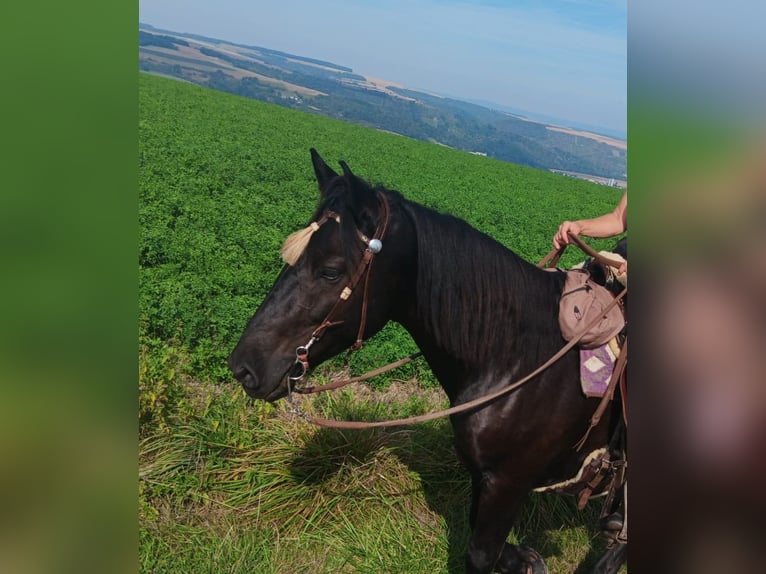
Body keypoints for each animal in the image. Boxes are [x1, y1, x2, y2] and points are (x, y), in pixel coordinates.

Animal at [230, 152, 632, 574]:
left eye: (331, 271)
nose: (244, 366)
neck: (516, 359)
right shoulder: (484, 478)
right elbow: (491, 543)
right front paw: (527, 559)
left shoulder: (507, 482)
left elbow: (479, 554)